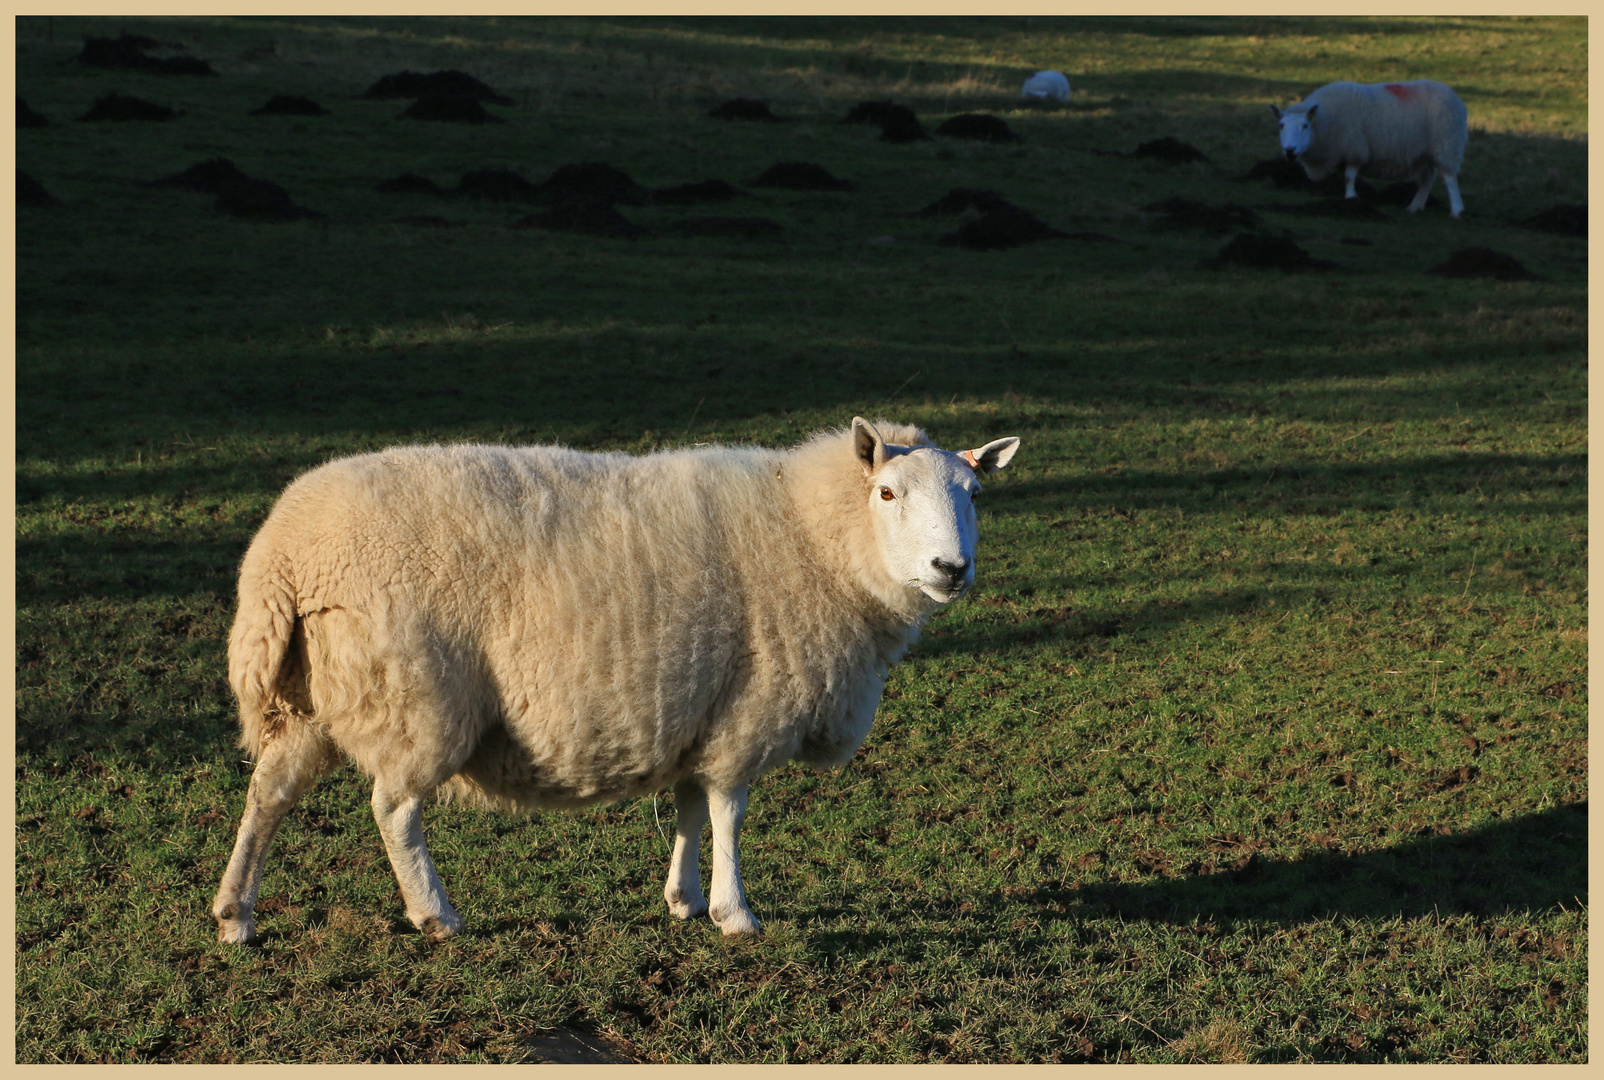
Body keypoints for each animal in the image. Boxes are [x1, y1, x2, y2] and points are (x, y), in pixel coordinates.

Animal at [213, 417, 1020, 937]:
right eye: (887, 493)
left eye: (976, 496)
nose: (952, 568)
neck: (816, 535)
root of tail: (282, 554)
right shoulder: (750, 712)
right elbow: (729, 811)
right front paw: (735, 913)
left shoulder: (706, 708)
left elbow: (692, 807)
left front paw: (683, 899)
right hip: (416, 693)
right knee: (394, 809)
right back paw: (436, 914)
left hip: (312, 701)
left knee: (269, 793)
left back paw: (235, 912)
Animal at [1270, 79, 1469, 216]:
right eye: (1281, 126)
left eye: (1305, 126)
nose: (1289, 150)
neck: (1325, 120)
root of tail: (1453, 94)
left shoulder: (1355, 149)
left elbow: (1349, 177)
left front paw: (1351, 200)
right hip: (1428, 151)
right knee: (1428, 178)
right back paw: (1415, 206)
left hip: (1446, 143)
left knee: (1450, 178)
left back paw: (1457, 210)